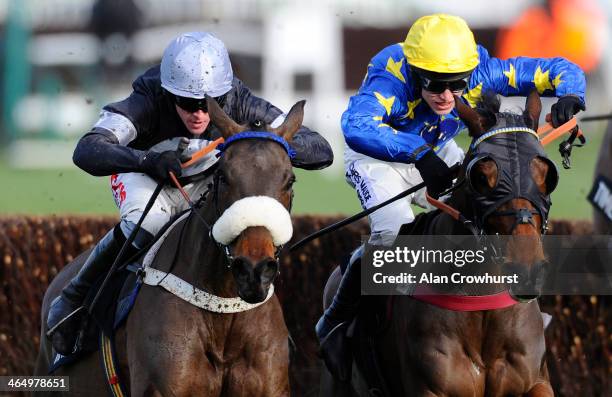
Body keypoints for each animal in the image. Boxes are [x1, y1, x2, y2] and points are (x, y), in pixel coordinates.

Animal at [33, 96, 306, 396]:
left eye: (290, 180)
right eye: (223, 176)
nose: (254, 271)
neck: (221, 311)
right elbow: (92, 144)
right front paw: (165, 161)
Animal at [326, 91, 560, 394]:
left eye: (546, 175)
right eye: (481, 176)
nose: (527, 270)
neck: (480, 303)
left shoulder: (536, 381)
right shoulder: (432, 388)